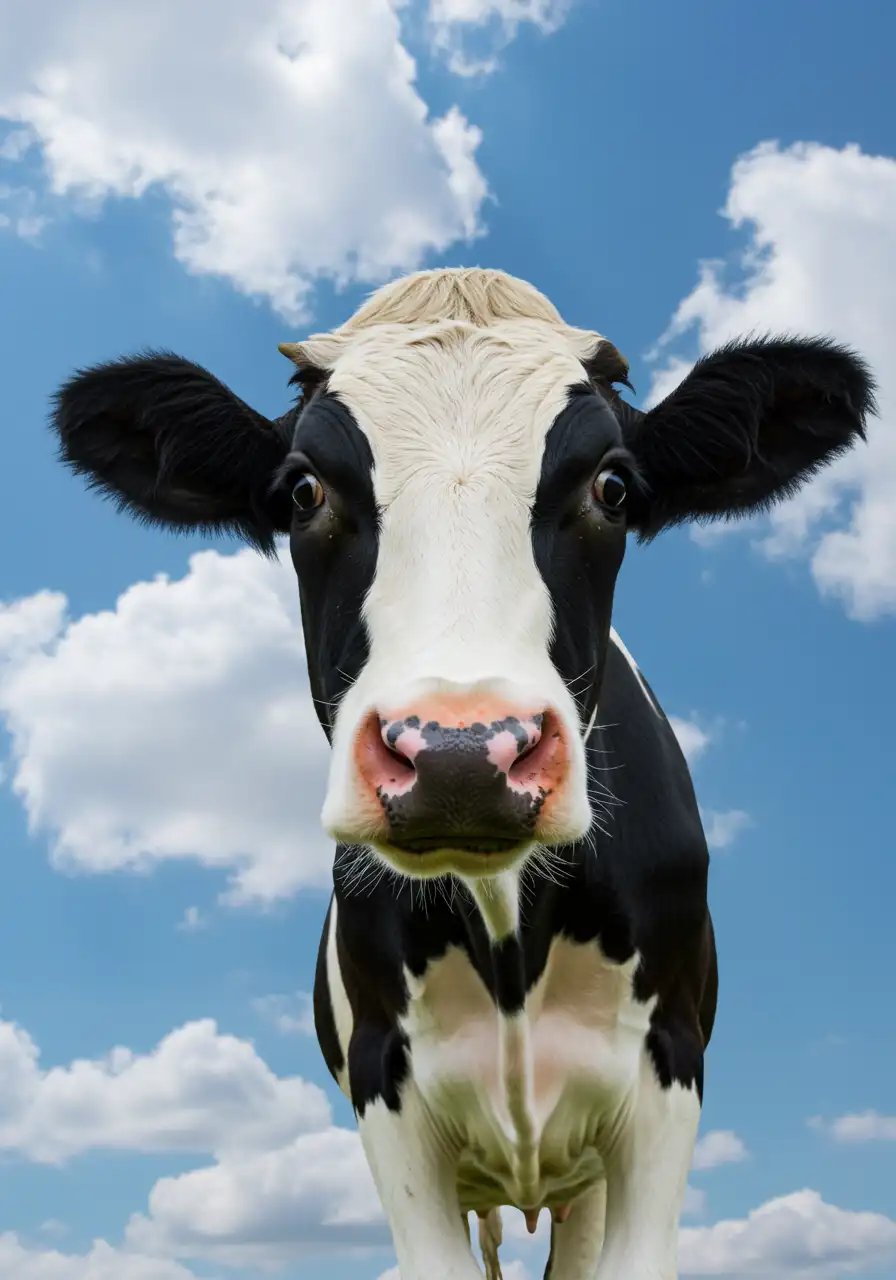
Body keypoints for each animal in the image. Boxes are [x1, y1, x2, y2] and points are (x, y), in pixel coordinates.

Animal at [52, 269, 873, 1280]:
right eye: (302, 490)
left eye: (613, 486)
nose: (458, 755)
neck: (509, 930)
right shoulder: (387, 1089)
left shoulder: (667, 1069)